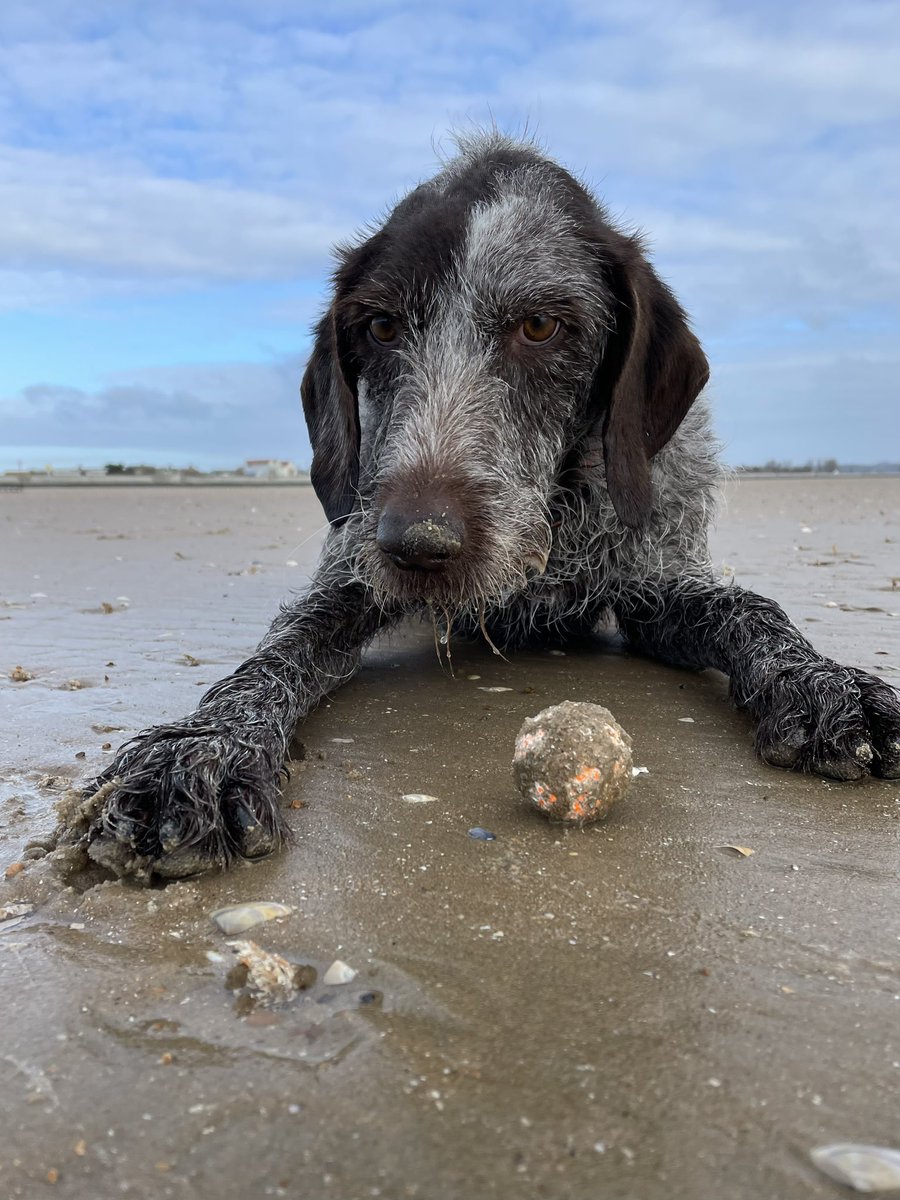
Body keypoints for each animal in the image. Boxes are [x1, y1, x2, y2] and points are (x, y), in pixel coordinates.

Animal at [82, 133, 900, 883]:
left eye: (540, 326)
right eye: (380, 326)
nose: (416, 544)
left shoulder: (654, 586)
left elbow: (751, 609)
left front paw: (827, 682)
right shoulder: (352, 571)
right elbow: (278, 651)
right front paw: (201, 748)